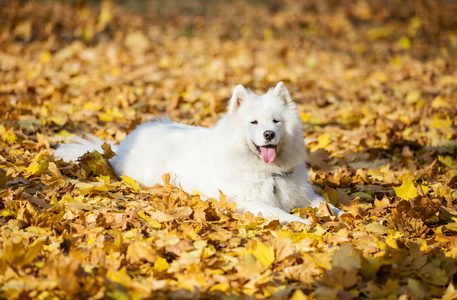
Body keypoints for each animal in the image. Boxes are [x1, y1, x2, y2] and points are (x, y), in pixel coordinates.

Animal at [56, 81, 342, 223]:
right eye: (254, 123)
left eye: (276, 121)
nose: (269, 134)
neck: (269, 173)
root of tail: (124, 143)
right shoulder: (247, 201)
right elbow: (280, 213)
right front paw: (305, 224)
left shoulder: (304, 195)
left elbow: (326, 205)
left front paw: (344, 215)